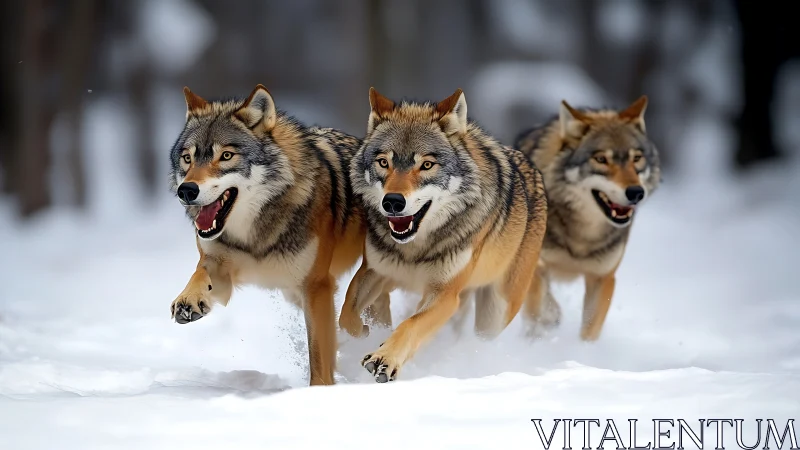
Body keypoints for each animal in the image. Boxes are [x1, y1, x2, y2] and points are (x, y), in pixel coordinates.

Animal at [167, 84, 365, 385]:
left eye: (226, 156)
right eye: (187, 158)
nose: (186, 191)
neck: (254, 236)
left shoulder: (317, 287)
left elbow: (318, 359)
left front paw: (318, 391)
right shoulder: (220, 268)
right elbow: (199, 273)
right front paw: (188, 301)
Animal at [338, 87, 548, 383]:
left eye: (426, 165)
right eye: (383, 162)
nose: (393, 202)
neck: (415, 248)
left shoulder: (446, 294)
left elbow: (410, 325)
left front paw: (385, 358)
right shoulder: (374, 270)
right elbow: (346, 314)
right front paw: (366, 334)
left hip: (494, 313)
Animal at [513, 95, 661, 341]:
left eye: (636, 159)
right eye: (601, 159)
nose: (636, 192)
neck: (582, 237)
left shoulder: (602, 278)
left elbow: (590, 331)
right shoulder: (533, 265)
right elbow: (535, 311)